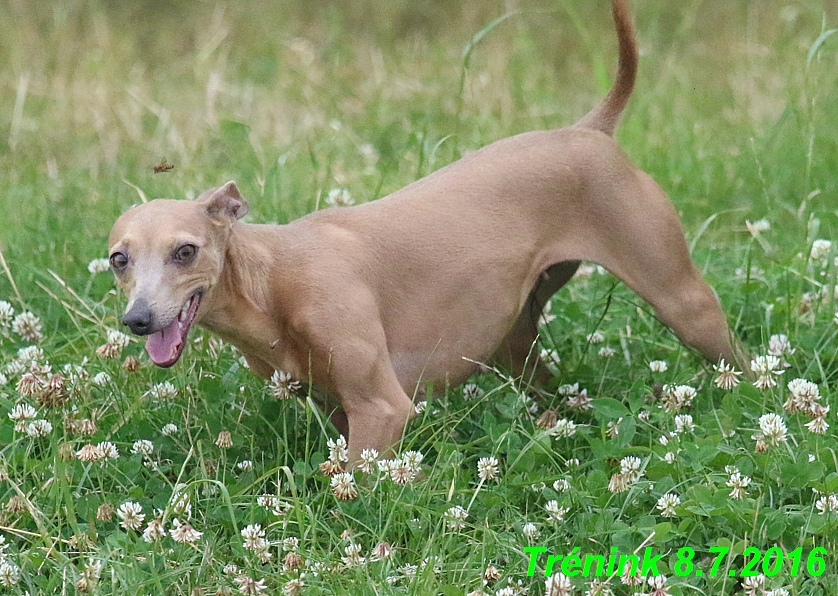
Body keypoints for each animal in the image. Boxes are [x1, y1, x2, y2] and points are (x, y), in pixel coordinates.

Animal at [108, 0, 744, 464]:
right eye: (119, 259)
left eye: (185, 251)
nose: (136, 320)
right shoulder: (338, 407)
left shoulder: (381, 407)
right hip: (515, 339)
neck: (269, 279)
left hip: (685, 305)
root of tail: (590, 129)